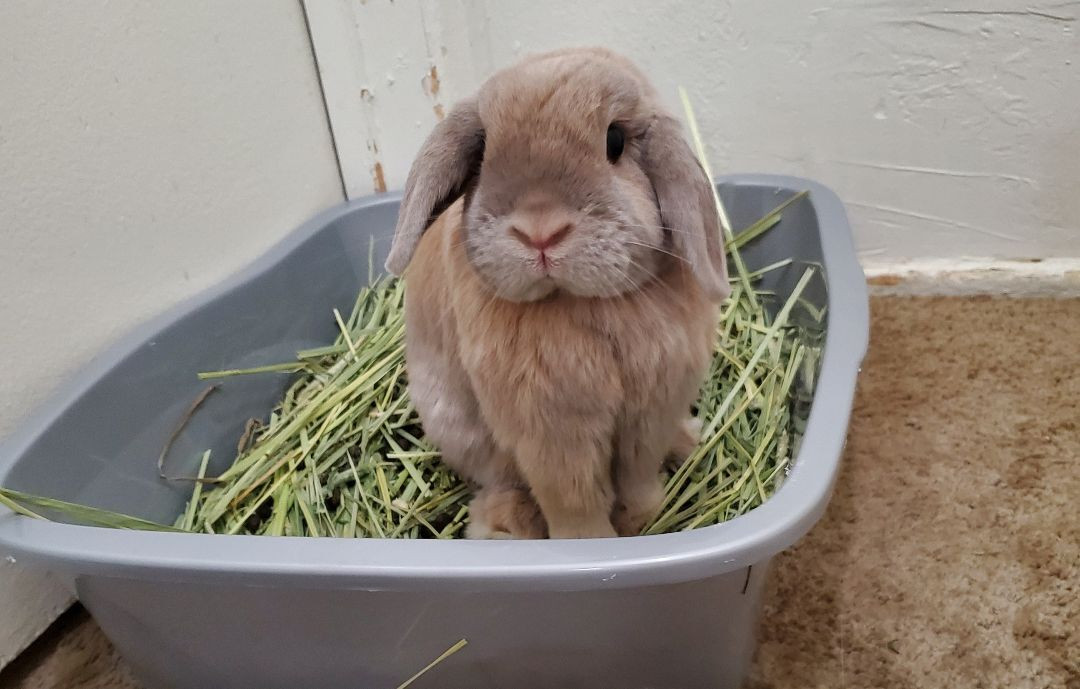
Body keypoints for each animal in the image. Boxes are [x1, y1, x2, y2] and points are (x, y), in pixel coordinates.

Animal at [384, 48, 730, 542]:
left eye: (615, 141)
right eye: (483, 151)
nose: (540, 232)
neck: (584, 306)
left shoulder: (651, 413)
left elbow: (639, 479)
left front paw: (638, 520)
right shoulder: (553, 436)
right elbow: (574, 501)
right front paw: (594, 544)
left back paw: (689, 439)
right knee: (500, 482)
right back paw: (504, 524)